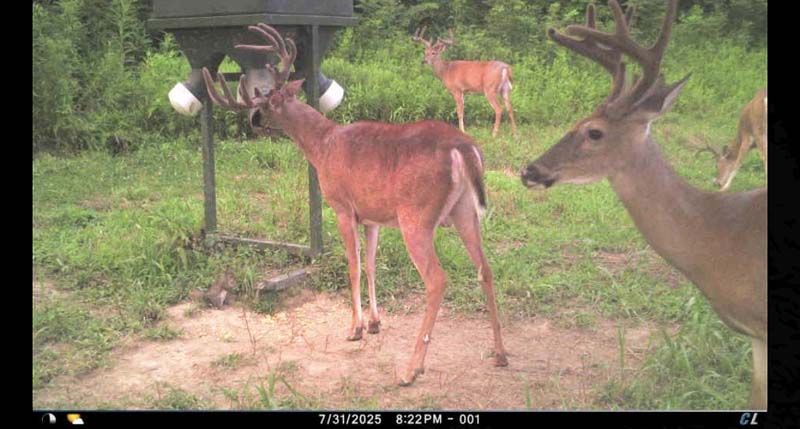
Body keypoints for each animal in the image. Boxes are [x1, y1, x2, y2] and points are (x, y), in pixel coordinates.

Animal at [201, 24, 508, 386]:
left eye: (267, 102)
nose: (253, 120)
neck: (322, 146)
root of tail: (463, 148)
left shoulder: (342, 207)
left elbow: (353, 266)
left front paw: (355, 328)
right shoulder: (372, 215)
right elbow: (372, 265)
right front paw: (375, 322)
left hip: (416, 216)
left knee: (437, 280)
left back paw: (411, 369)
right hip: (465, 211)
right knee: (485, 268)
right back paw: (500, 354)